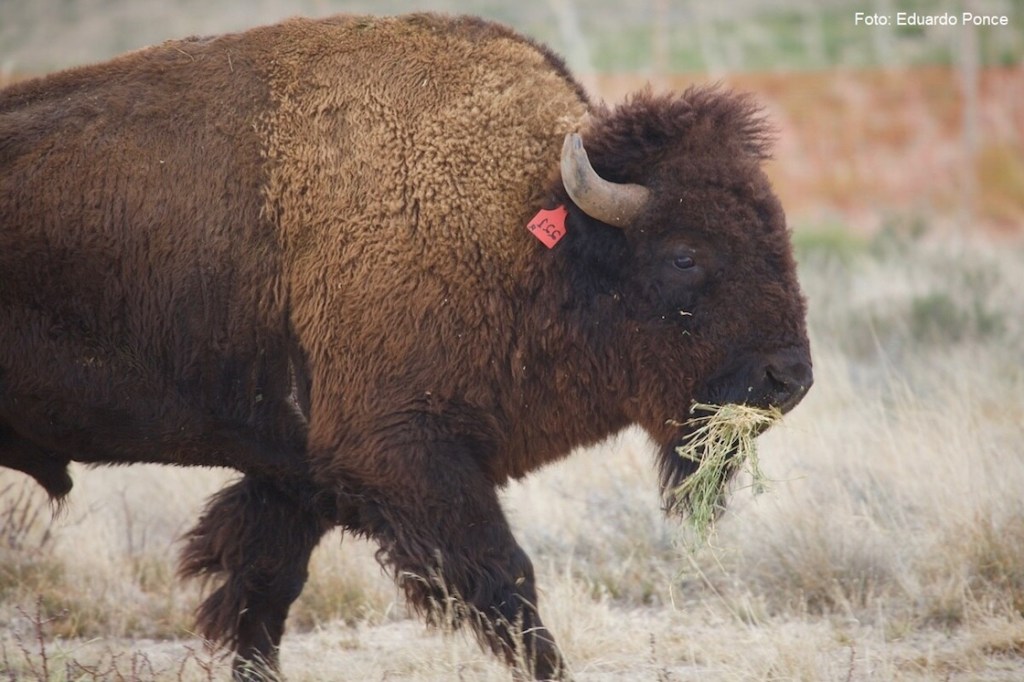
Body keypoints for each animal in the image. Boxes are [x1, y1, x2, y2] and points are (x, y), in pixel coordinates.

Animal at [2, 11, 815, 679]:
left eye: (777, 232)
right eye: (685, 254)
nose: (789, 378)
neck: (525, 231)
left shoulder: (298, 472)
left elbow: (262, 596)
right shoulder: (401, 455)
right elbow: (507, 582)